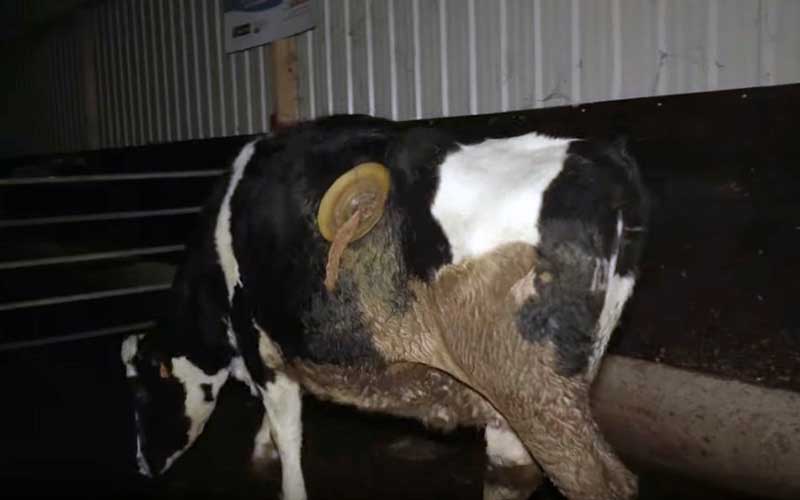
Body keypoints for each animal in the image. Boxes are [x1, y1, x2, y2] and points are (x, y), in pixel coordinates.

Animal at [121, 114, 648, 500]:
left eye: (142, 393)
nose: (142, 467)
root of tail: (605, 158)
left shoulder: (263, 347)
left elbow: (289, 432)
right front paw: (260, 450)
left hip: (535, 394)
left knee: (597, 482)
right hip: (521, 398)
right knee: (511, 475)